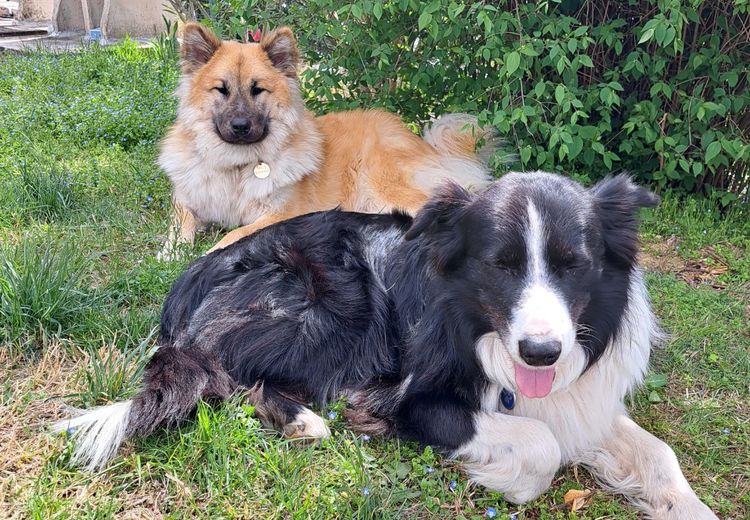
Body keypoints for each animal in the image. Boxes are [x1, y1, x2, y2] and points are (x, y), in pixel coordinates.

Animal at [57, 173, 716, 516]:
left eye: (573, 265)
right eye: (500, 266)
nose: (540, 354)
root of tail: (187, 282)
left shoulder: (584, 398)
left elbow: (658, 454)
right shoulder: (410, 400)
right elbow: (541, 447)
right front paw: (496, 476)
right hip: (326, 305)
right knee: (227, 375)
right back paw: (303, 421)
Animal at [159, 21, 500, 258]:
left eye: (258, 90)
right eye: (221, 89)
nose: (240, 126)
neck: (236, 166)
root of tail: (420, 142)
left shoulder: (283, 213)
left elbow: (234, 234)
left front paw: (206, 254)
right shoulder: (187, 200)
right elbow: (180, 224)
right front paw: (170, 252)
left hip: (385, 185)